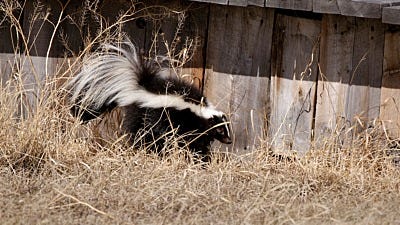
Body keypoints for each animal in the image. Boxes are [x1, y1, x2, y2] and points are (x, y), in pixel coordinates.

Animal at [67, 39, 231, 161]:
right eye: (220, 129)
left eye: (227, 128)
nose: (229, 141)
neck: (199, 109)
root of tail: (138, 86)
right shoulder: (185, 122)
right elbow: (191, 141)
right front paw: (198, 157)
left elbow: (201, 142)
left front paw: (203, 157)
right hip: (143, 115)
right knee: (141, 133)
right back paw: (142, 148)